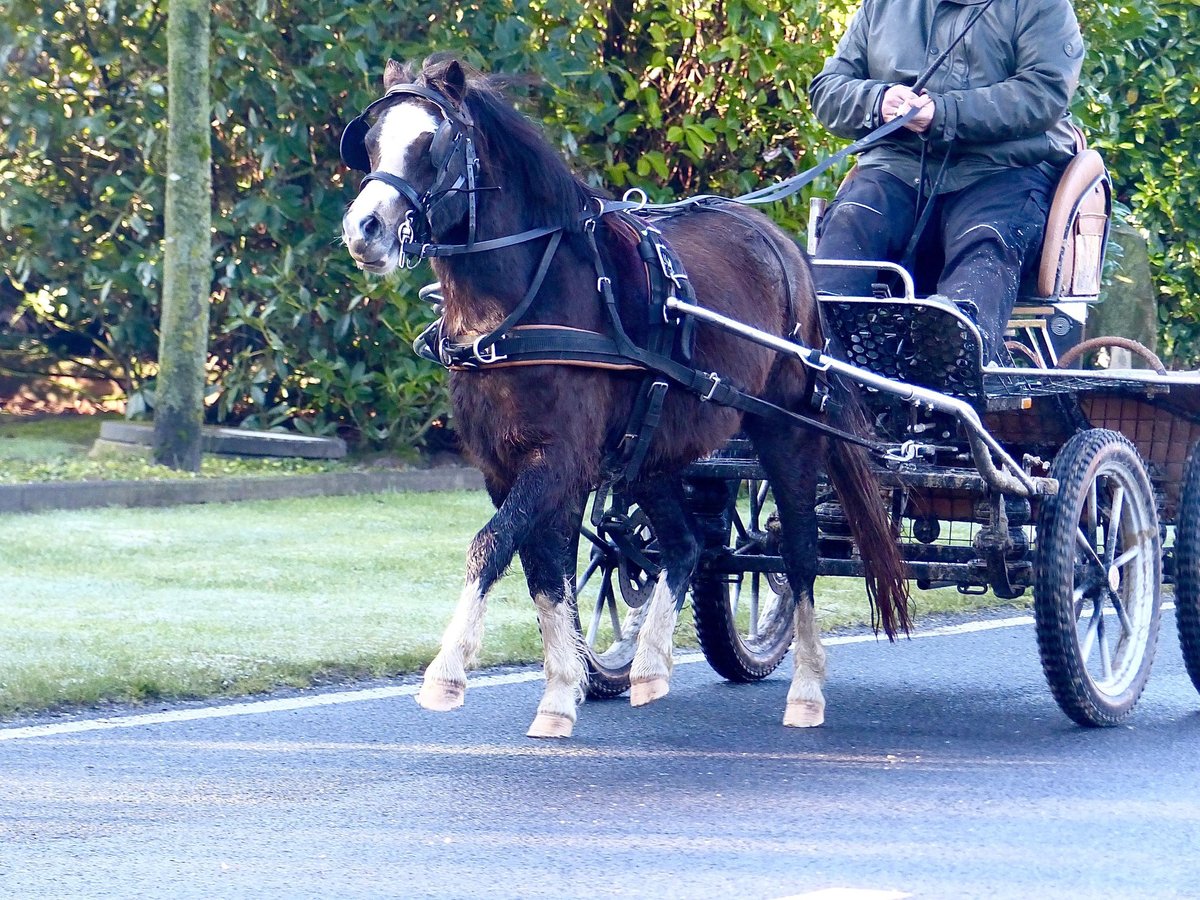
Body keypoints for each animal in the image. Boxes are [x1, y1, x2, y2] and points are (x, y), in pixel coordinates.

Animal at [343, 54, 902, 739]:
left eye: (432, 143)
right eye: (371, 141)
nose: (363, 230)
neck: (522, 305)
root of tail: (787, 247)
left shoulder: (560, 459)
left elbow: (492, 546)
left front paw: (447, 675)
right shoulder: (504, 466)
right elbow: (544, 570)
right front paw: (562, 692)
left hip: (785, 431)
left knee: (797, 553)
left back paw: (806, 688)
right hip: (650, 450)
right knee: (685, 545)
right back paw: (650, 665)